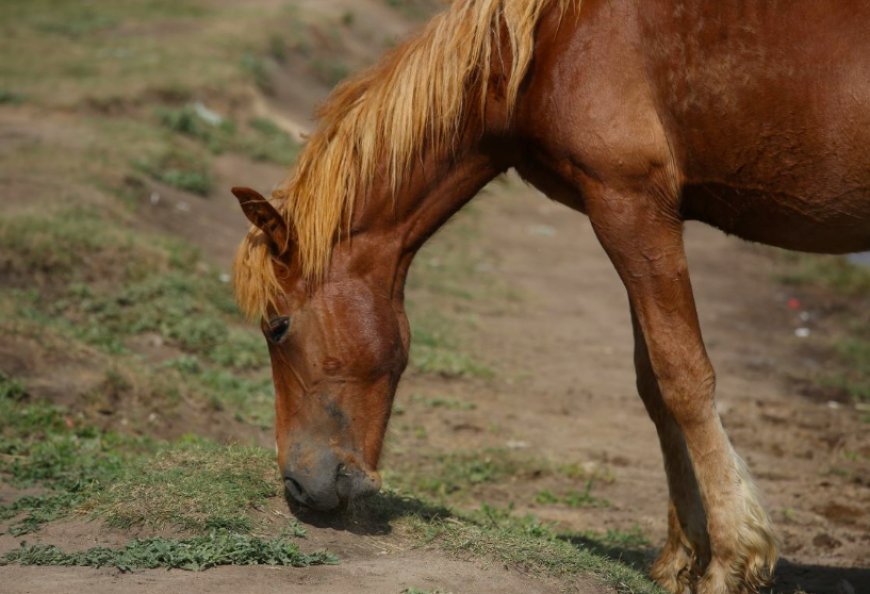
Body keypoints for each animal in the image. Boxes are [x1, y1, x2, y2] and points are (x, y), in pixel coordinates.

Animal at [230, 2, 870, 588]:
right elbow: (654, 386)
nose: (297, 485)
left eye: (277, 326)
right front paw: (682, 557)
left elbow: (683, 376)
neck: (549, 47)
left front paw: (732, 560)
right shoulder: (635, 216)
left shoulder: (631, 207)